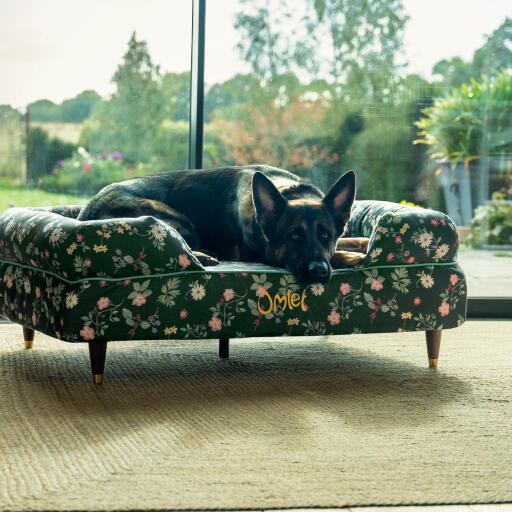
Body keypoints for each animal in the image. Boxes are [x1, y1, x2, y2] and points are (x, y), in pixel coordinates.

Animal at [77, 165, 368, 284]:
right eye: (294, 236)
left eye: (325, 235)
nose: (319, 271)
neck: (290, 191)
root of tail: (84, 212)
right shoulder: (260, 255)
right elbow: (342, 253)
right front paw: (355, 257)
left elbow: (351, 239)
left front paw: (365, 244)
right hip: (178, 220)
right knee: (180, 243)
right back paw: (204, 257)